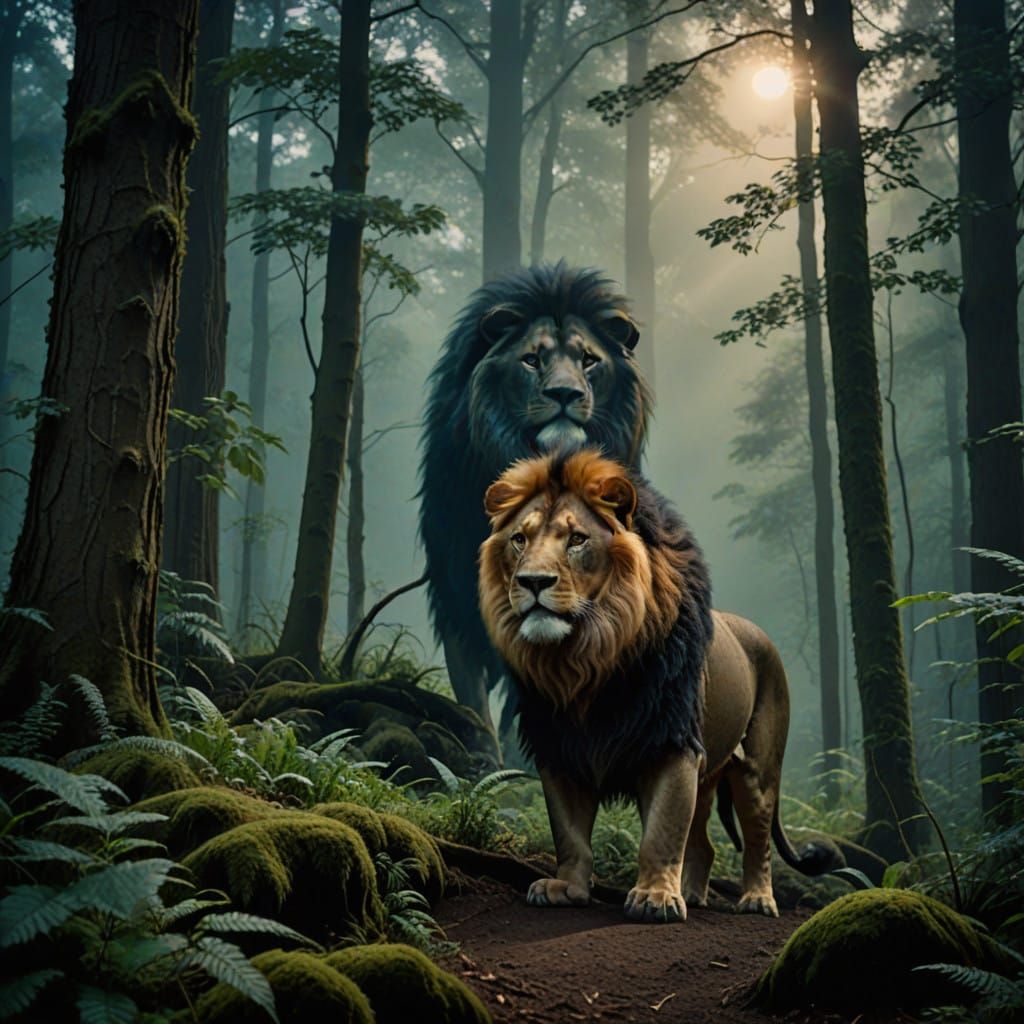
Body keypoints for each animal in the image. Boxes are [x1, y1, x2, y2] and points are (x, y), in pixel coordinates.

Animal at [419, 263, 650, 733]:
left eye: (588, 360)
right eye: (531, 359)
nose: (565, 394)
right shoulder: (456, 601)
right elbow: (475, 700)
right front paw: (483, 750)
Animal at [479, 448, 843, 921]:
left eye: (577, 539)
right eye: (520, 539)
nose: (533, 582)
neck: (587, 661)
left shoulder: (672, 743)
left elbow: (663, 831)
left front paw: (654, 897)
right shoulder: (560, 748)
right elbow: (570, 832)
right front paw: (567, 888)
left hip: (757, 771)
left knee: (757, 841)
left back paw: (758, 900)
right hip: (709, 773)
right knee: (704, 844)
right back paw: (693, 893)